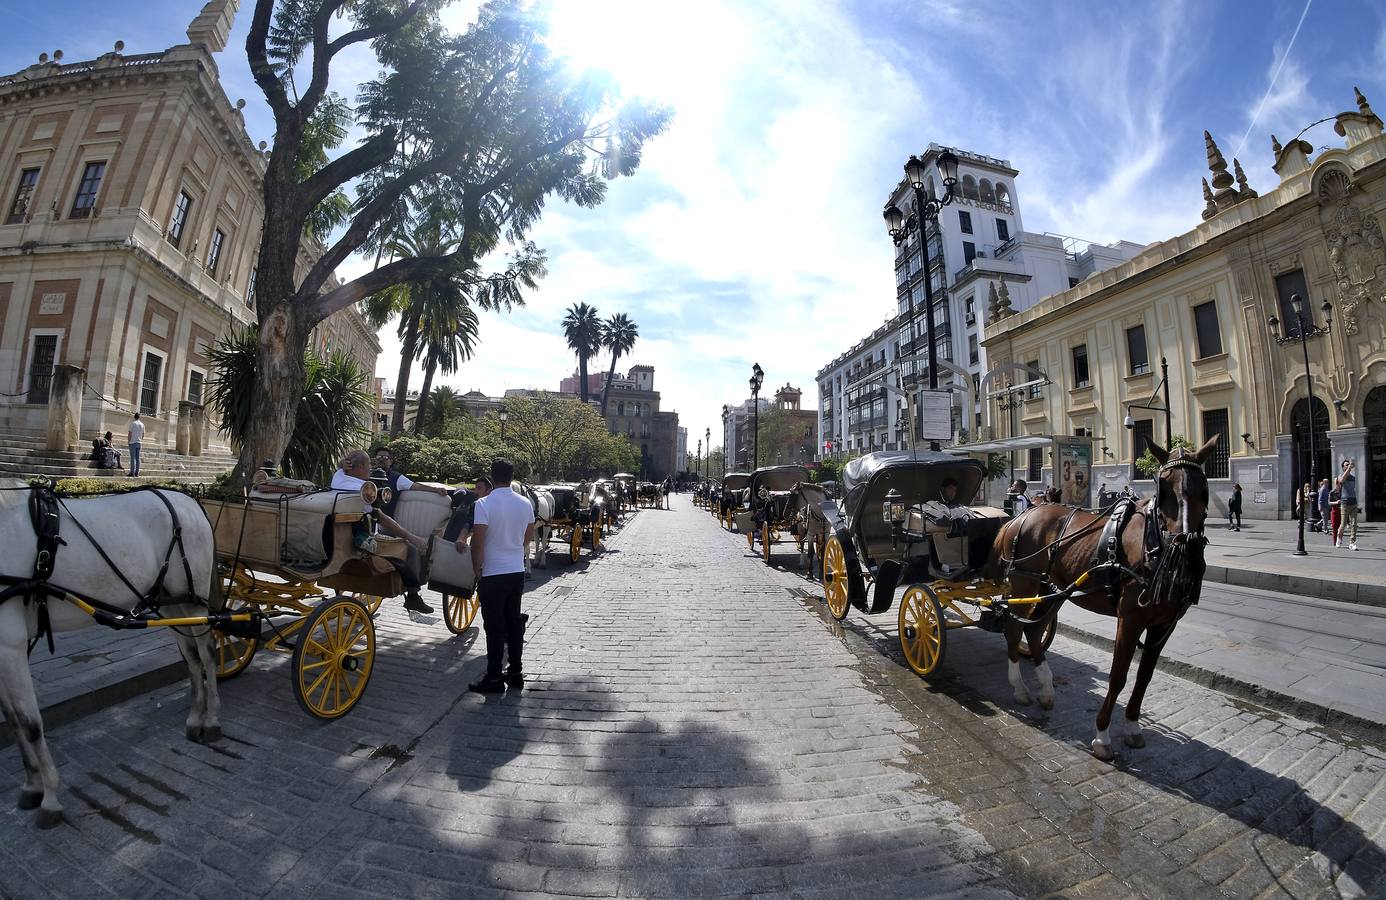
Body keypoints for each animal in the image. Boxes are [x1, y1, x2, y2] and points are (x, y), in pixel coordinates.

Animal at [0, 479, 220, 826]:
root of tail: (188, 500)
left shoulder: (10, 642)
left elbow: (30, 722)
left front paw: (49, 797)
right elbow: (13, 719)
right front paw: (32, 785)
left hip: (195, 601)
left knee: (208, 653)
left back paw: (211, 720)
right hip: (172, 601)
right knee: (191, 655)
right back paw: (195, 716)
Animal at [986, 435, 1214, 759]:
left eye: (1203, 487)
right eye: (1163, 487)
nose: (1184, 544)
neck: (1152, 541)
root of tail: (1021, 516)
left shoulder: (1164, 624)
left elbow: (1144, 677)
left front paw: (1132, 726)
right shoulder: (1130, 619)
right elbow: (1118, 675)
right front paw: (1102, 736)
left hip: (1051, 589)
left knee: (1033, 629)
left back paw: (1046, 688)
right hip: (1023, 584)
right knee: (1014, 627)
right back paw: (1020, 688)